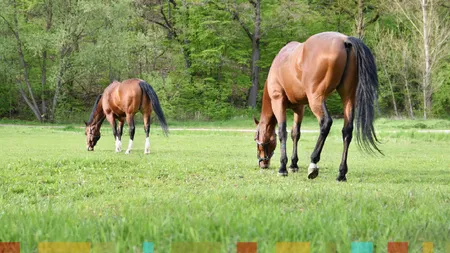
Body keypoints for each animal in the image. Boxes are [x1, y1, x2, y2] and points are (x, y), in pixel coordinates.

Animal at [255, 31, 382, 181]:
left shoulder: (278, 101)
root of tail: (345, 40)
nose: (262, 163)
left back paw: (313, 163)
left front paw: (283, 167)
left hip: (316, 99)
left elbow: (282, 132)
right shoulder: (300, 108)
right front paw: (293, 164)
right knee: (347, 130)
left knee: (326, 123)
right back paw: (341, 173)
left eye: (256, 139)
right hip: (348, 98)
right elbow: (295, 133)